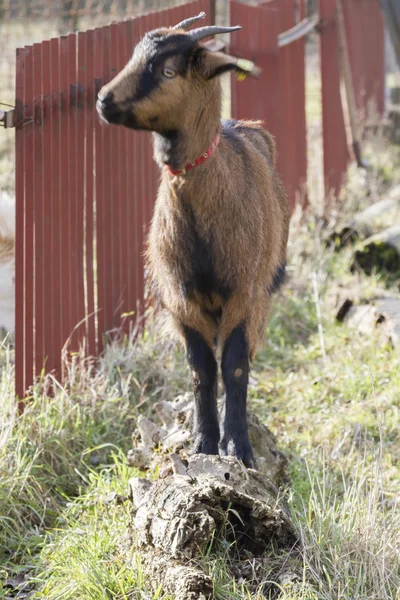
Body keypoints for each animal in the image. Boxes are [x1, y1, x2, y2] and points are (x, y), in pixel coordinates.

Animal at [97, 11, 290, 466]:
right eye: (133, 58)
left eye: (168, 71)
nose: (104, 100)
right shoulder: (180, 300)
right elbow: (201, 370)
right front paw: (203, 444)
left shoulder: (244, 293)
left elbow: (234, 366)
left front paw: (238, 448)